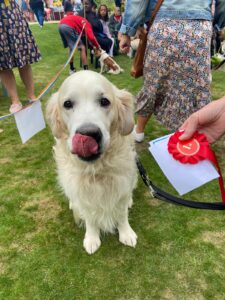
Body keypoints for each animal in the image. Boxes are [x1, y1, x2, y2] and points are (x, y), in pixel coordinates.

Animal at [45, 71, 137, 255]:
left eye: (104, 101)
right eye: (67, 104)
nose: (89, 133)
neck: (96, 170)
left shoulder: (122, 186)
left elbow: (122, 214)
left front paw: (126, 233)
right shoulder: (82, 193)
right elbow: (90, 218)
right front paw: (92, 238)